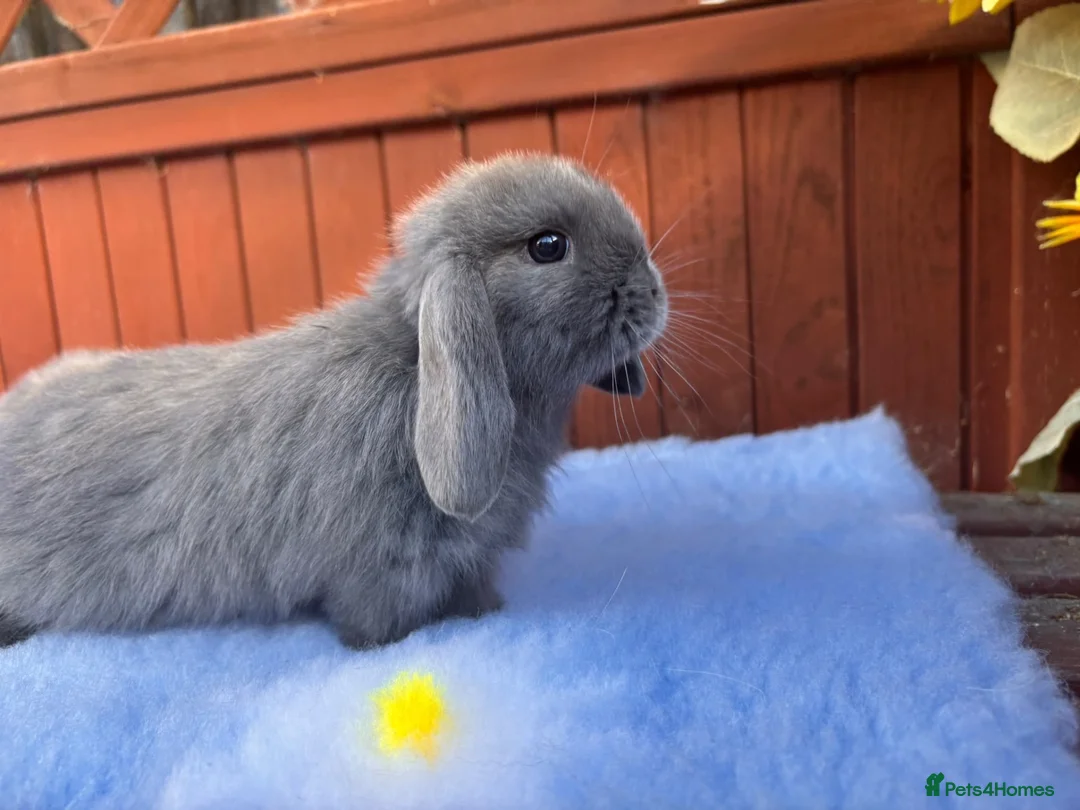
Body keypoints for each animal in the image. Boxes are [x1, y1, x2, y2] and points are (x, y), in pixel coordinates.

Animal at [0, 153, 669, 650]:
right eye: (548, 245)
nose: (654, 290)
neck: (413, 372)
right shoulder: (379, 573)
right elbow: (372, 625)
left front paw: (486, 612)